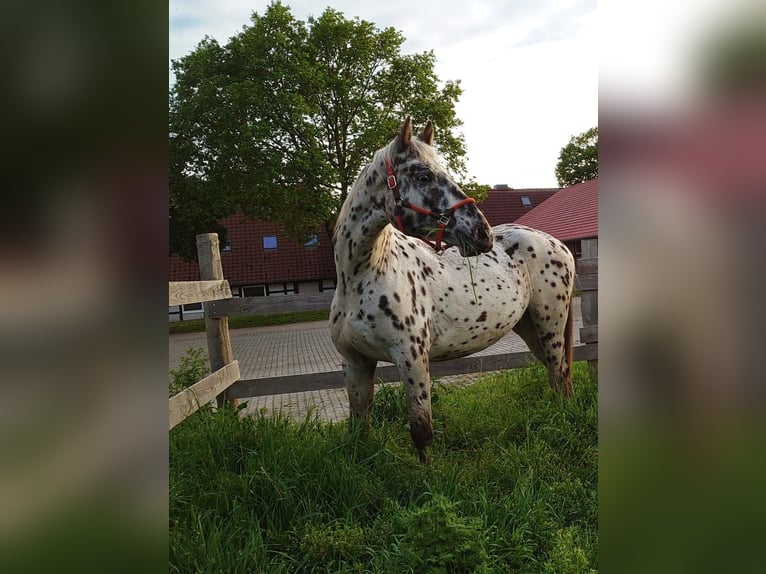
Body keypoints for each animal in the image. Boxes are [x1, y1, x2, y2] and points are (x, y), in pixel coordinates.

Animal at [330, 117, 575, 463]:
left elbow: (422, 431)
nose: (483, 233)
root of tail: (558, 244)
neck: (361, 276)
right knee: (556, 377)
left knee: (559, 372)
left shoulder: (412, 358)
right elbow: (359, 426)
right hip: (530, 327)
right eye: (423, 175)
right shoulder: (355, 362)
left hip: (550, 323)